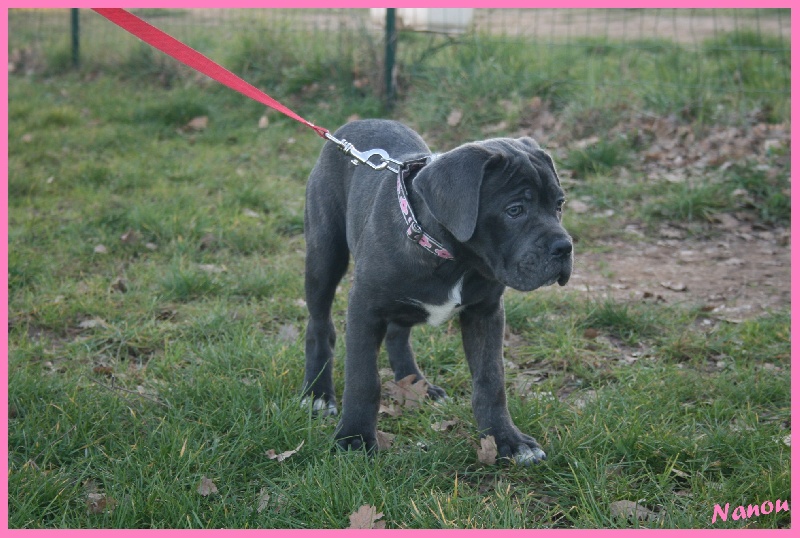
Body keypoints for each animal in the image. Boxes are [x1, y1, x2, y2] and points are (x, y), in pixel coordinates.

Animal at [300, 120, 568, 460]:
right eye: (515, 210)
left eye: (559, 204)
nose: (564, 248)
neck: (453, 258)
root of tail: (355, 123)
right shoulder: (365, 308)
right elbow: (363, 378)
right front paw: (355, 436)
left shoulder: (486, 313)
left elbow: (491, 379)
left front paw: (506, 438)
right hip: (324, 255)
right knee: (320, 325)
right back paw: (318, 395)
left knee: (397, 333)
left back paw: (416, 383)